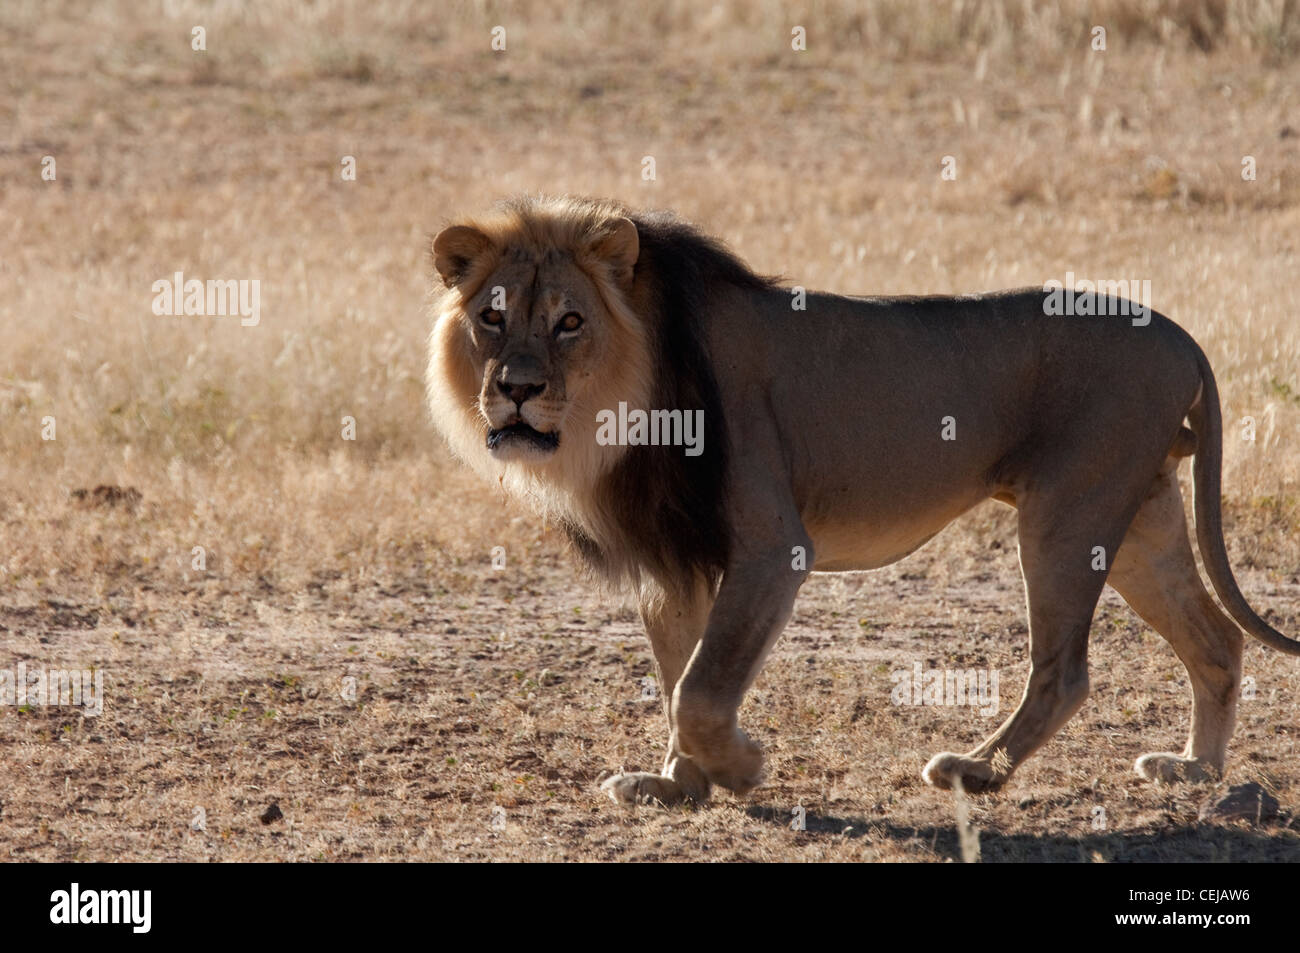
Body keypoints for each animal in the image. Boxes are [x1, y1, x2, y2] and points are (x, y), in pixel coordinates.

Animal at [426, 193, 1300, 800]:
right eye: (492, 318)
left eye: (570, 321)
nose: (516, 389)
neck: (617, 412)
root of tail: (1180, 333)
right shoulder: (673, 558)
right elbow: (679, 676)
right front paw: (676, 785)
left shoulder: (773, 545)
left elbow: (700, 689)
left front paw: (742, 766)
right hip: (1140, 513)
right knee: (1219, 641)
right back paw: (1194, 769)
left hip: (1066, 513)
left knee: (1066, 671)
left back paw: (977, 770)